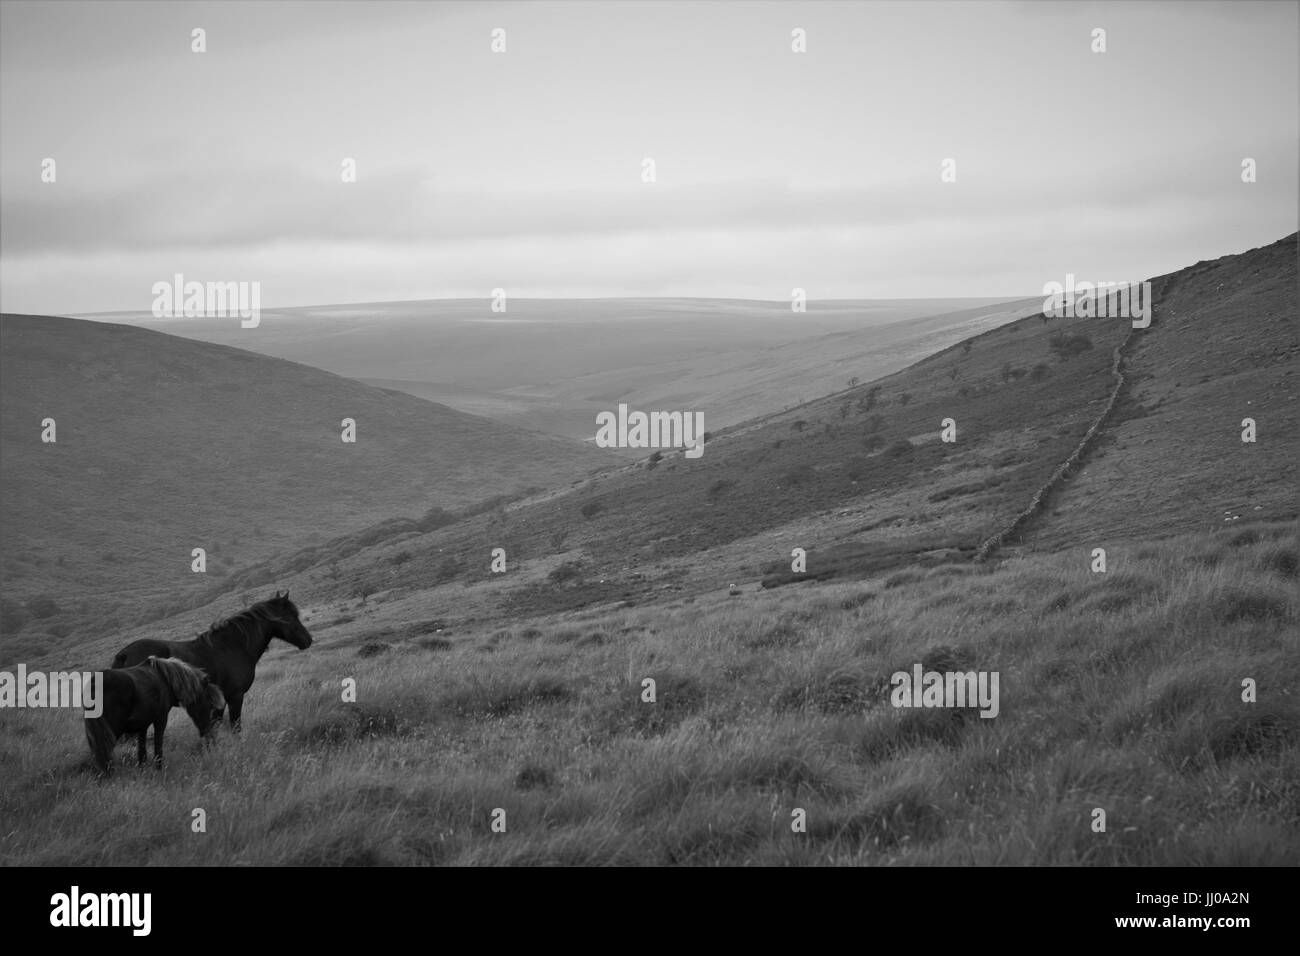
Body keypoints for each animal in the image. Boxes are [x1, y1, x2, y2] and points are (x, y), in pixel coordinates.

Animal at [84, 660, 226, 775]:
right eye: (210, 705)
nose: (208, 733)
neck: (165, 680)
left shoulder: (142, 726)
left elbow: (142, 751)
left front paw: (142, 771)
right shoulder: (161, 720)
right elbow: (158, 745)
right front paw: (159, 768)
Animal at [111, 590, 312, 733]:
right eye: (291, 616)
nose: (308, 640)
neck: (232, 647)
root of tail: (124, 654)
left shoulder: (219, 702)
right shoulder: (235, 696)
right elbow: (235, 726)